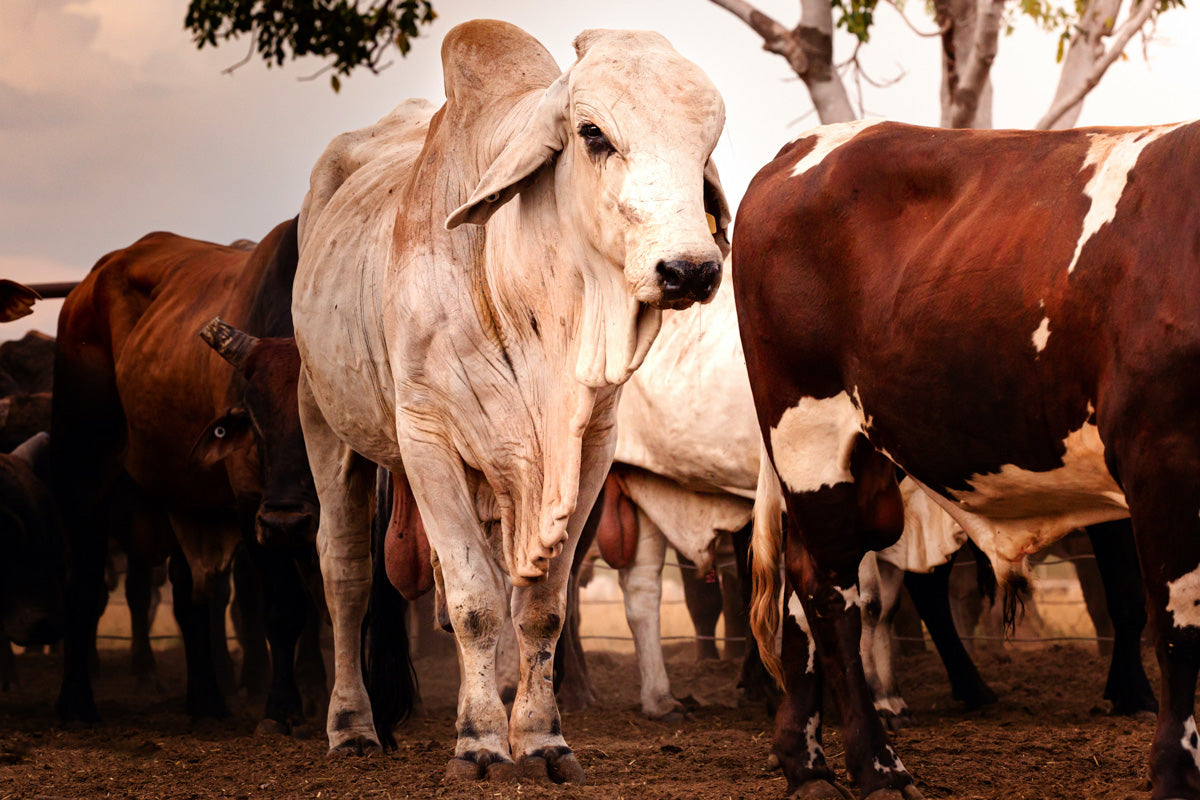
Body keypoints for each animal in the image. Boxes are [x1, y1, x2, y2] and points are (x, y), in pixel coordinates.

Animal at [54, 219, 321, 734]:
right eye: (251, 417)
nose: (285, 521)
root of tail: (88, 285)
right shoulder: (250, 500)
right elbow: (284, 607)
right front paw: (280, 708)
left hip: (179, 497)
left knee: (188, 597)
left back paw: (207, 701)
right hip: (83, 474)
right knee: (83, 586)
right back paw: (76, 706)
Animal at [288, 20, 729, 786]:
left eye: (706, 143)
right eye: (592, 133)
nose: (690, 270)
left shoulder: (586, 450)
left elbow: (541, 608)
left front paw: (543, 738)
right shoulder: (426, 438)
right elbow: (472, 603)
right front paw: (478, 744)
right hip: (326, 419)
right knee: (344, 569)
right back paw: (351, 726)